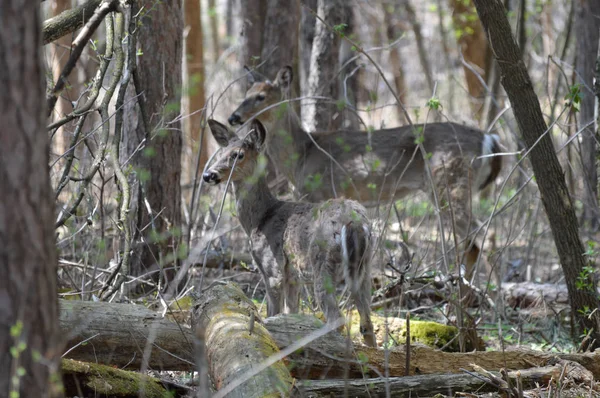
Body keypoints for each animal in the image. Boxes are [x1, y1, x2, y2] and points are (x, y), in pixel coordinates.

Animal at [204, 117, 378, 346]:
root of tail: (354, 223)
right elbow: (290, 311)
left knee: (336, 319)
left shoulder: (272, 269)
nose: (208, 174)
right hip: (365, 267)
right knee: (367, 323)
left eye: (238, 154)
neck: (260, 219)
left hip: (323, 263)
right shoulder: (293, 277)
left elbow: (272, 313)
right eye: (221, 152)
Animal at [227, 65, 504, 282]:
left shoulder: (319, 192)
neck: (303, 154)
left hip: (449, 180)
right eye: (246, 94)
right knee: (478, 239)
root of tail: (490, 140)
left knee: (481, 234)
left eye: (261, 96)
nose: (233, 117)